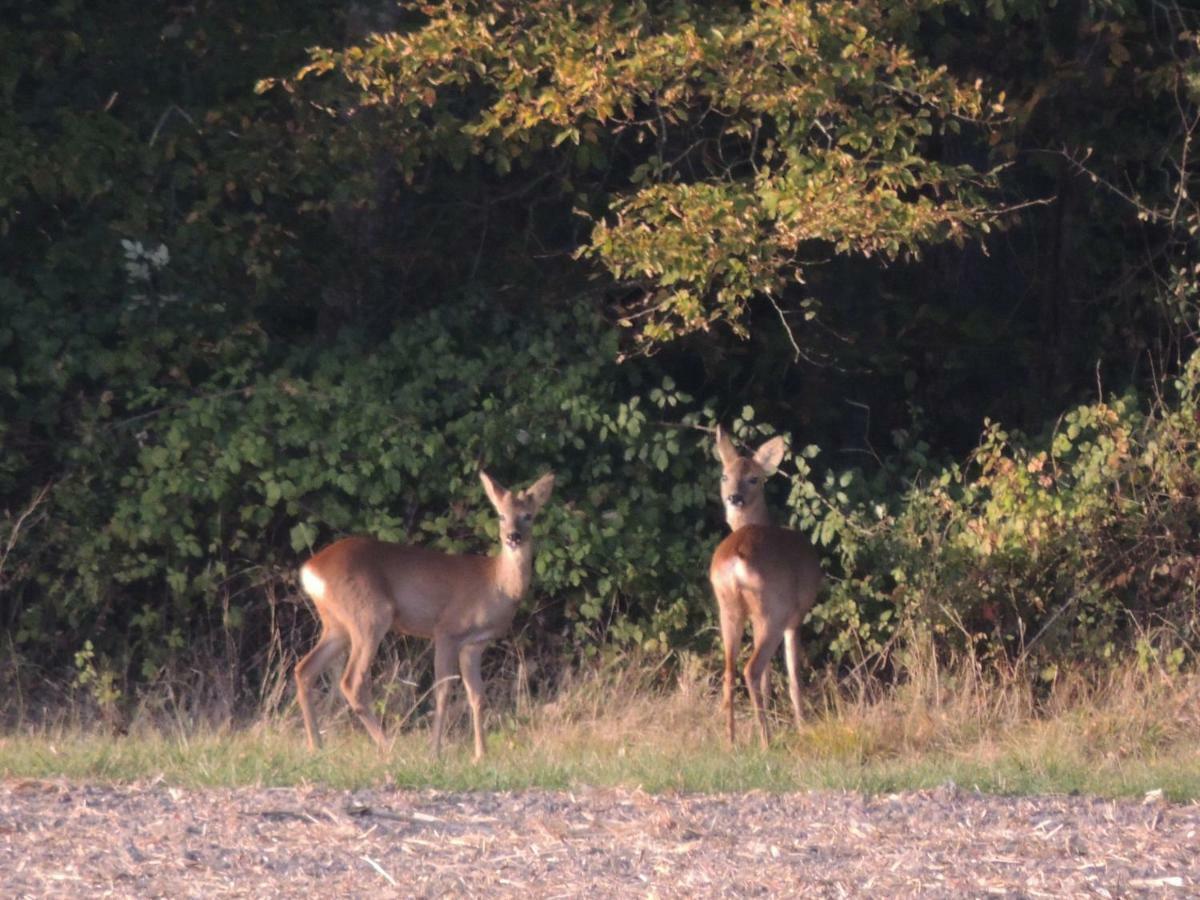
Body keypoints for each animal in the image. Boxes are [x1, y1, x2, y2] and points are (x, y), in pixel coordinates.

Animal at [292, 472, 554, 763]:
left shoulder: (475, 644)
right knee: (351, 681)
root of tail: (310, 570)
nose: (513, 537)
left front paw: (480, 754)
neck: (496, 584)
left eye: (528, 515)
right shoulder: (447, 630)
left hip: (336, 625)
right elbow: (443, 691)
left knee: (304, 669)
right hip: (370, 615)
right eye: (501, 515)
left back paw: (316, 745)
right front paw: (435, 751)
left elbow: (477, 695)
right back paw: (388, 747)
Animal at [710, 427, 825, 748]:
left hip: (729, 607)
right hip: (772, 610)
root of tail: (737, 558)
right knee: (752, 668)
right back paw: (765, 740)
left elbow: (768, 679)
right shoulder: (795, 617)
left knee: (729, 671)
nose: (734, 498)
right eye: (724, 476)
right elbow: (793, 675)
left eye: (753, 478)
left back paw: (731, 741)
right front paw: (802, 725)